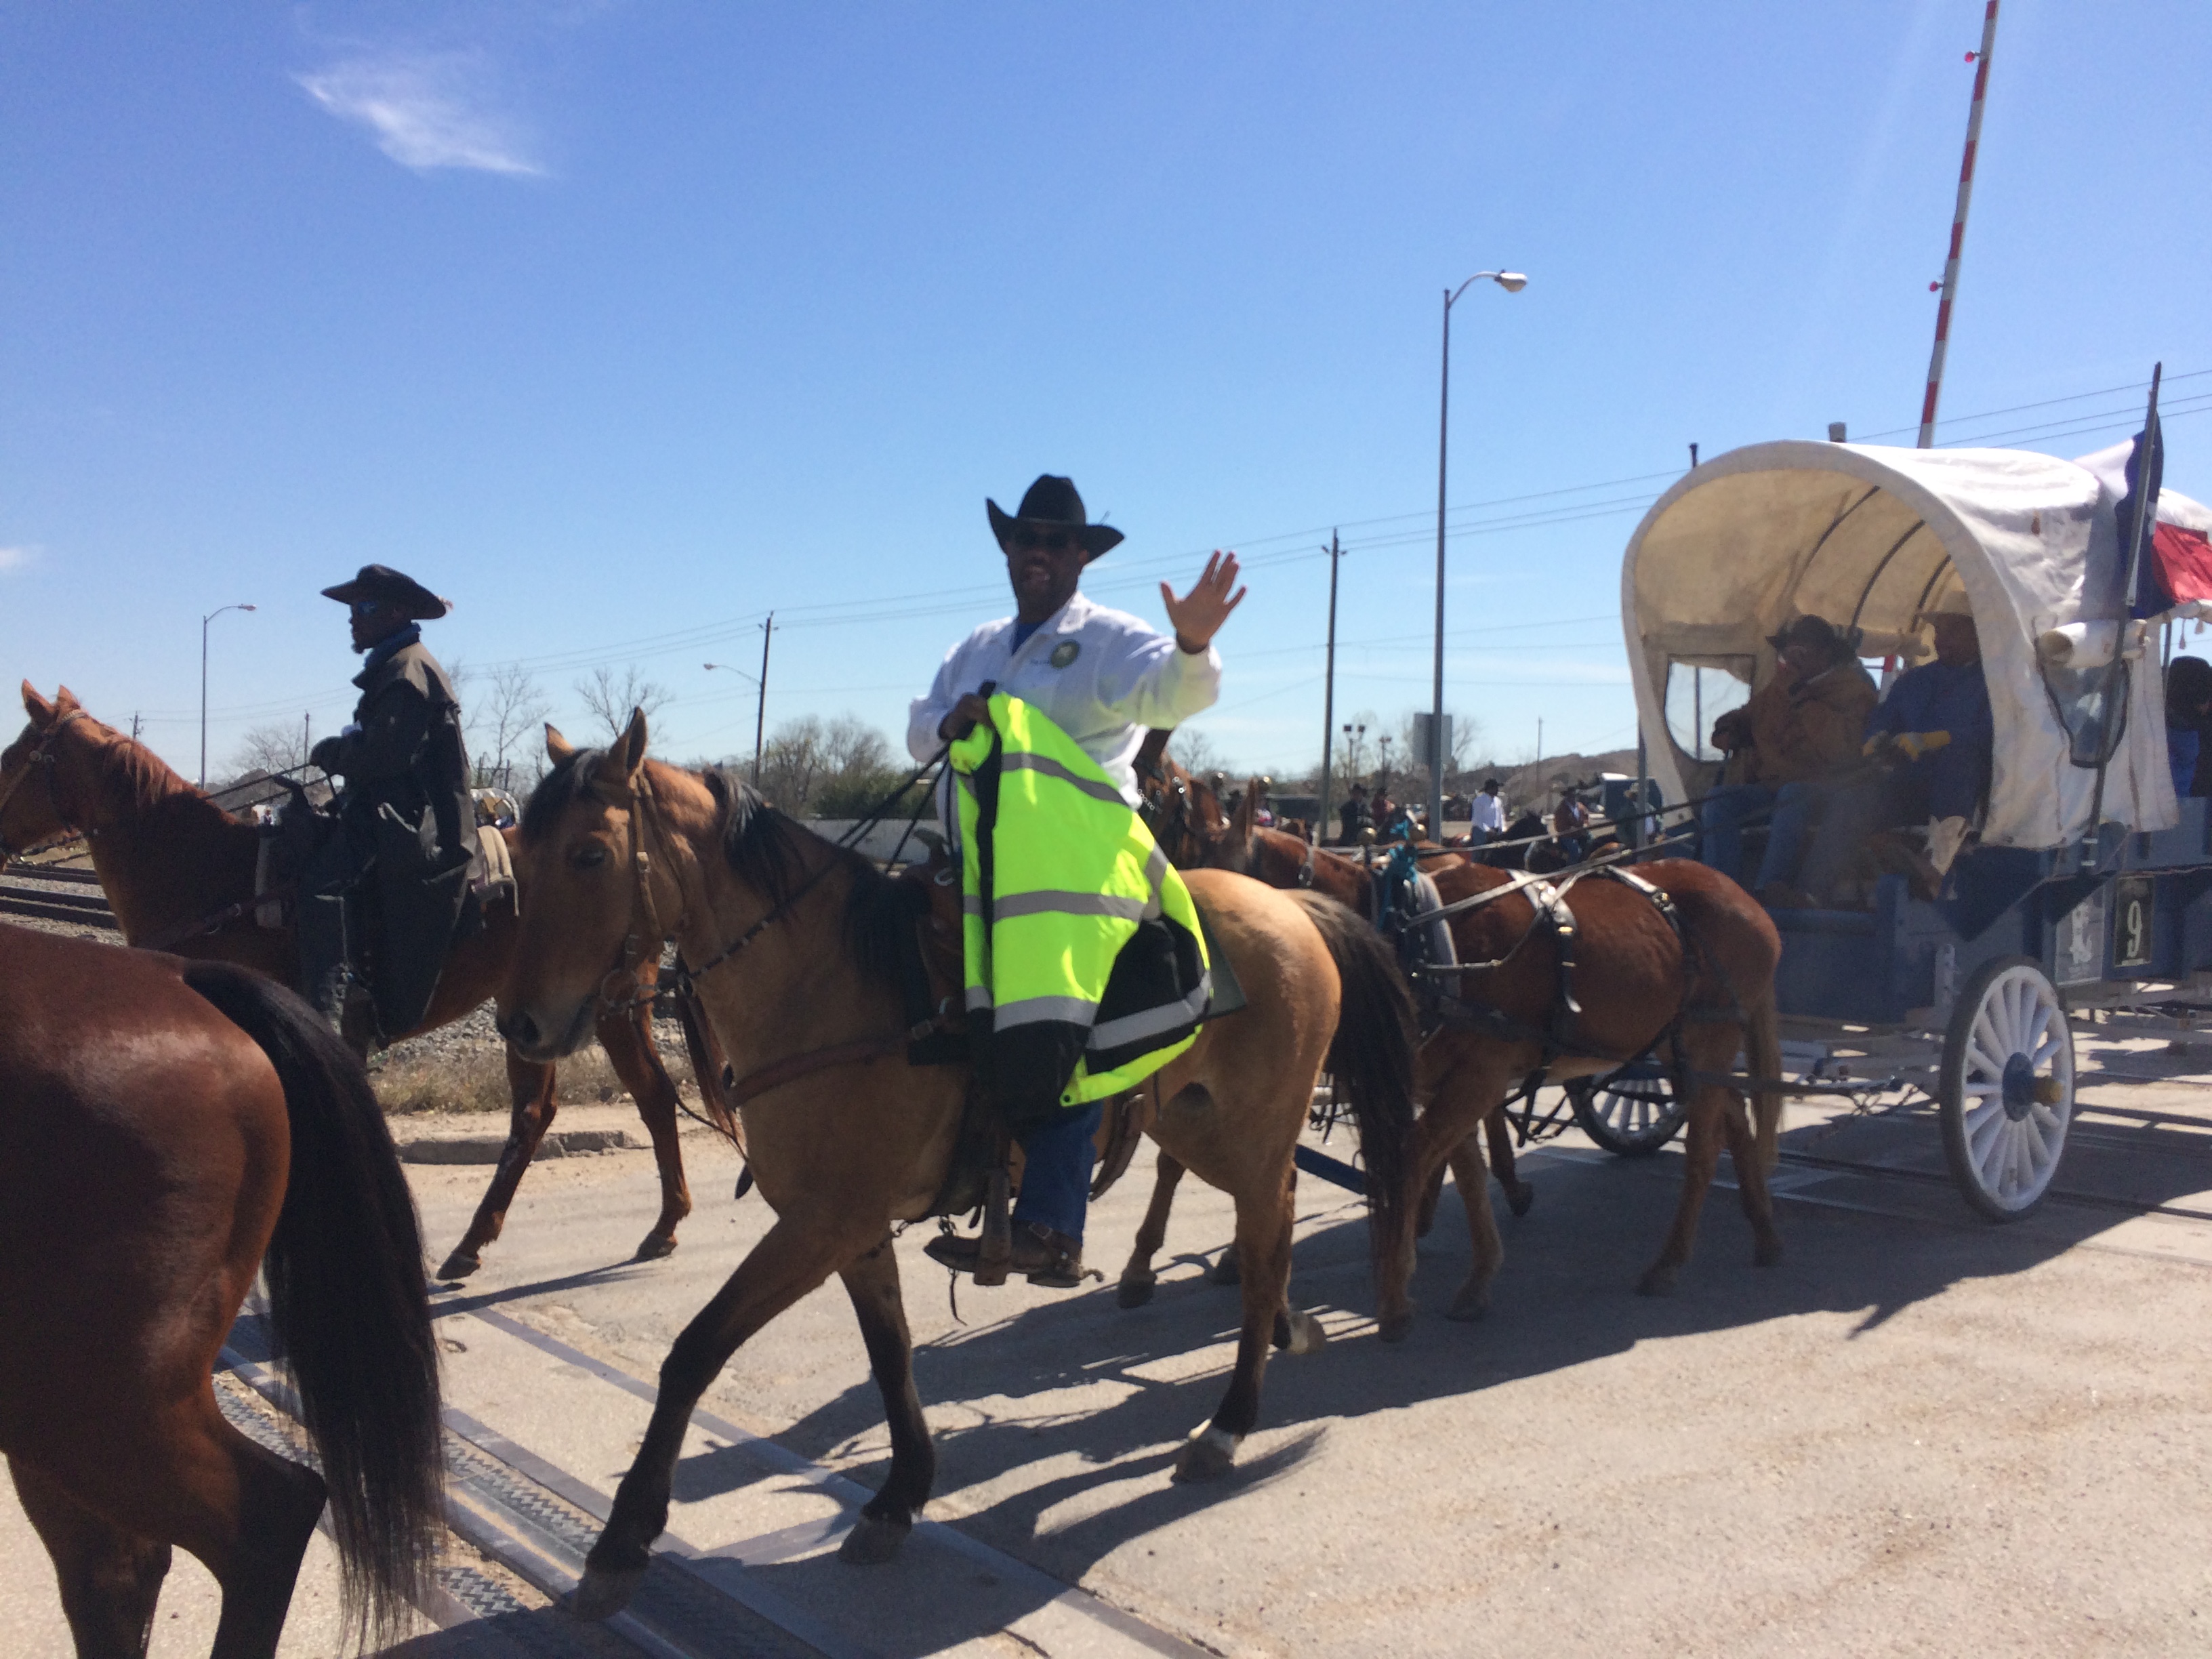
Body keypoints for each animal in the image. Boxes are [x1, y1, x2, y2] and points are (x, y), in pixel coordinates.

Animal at [493, 716, 1406, 1610]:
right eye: (523, 853)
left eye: (590, 854)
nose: (522, 1026)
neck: (830, 984)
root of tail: (1291, 906)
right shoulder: (855, 1230)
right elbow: (890, 1353)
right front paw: (899, 1497)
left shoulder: (819, 1224)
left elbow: (694, 1352)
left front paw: (622, 1540)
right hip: (1200, 1132)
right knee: (1269, 1230)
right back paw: (1283, 1332)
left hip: (1252, 1137)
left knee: (1266, 1247)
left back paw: (1228, 1425)